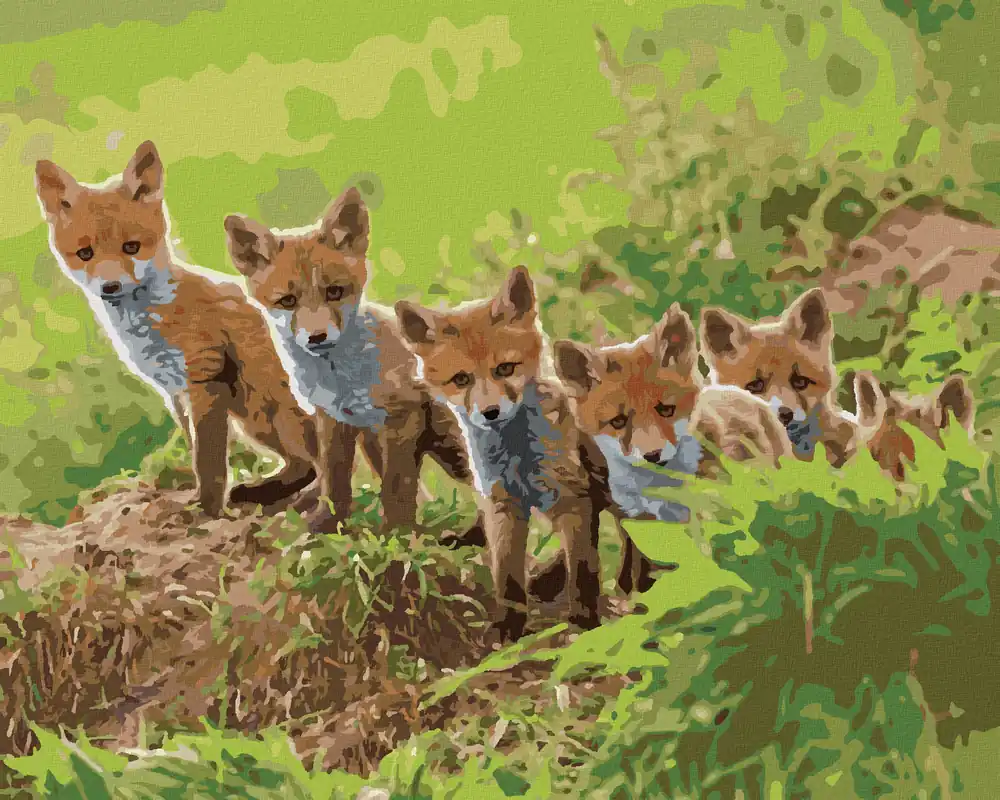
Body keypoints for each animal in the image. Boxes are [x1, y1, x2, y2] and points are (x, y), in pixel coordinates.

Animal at [34, 141, 318, 517]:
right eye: (85, 253)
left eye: (131, 247)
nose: (110, 286)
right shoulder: (175, 393)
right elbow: (195, 451)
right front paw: (198, 502)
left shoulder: (204, 376)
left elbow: (208, 461)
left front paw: (207, 512)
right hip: (252, 415)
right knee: (304, 461)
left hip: (263, 403)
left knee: (319, 461)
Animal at [224, 188, 479, 535]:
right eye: (288, 301)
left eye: (334, 291)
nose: (317, 337)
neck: (340, 379)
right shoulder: (335, 419)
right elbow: (336, 484)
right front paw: (324, 527)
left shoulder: (403, 414)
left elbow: (396, 489)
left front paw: (395, 538)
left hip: (455, 449)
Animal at [395, 267, 604, 641]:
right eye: (461, 379)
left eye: (505, 369)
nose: (490, 412)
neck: (517, 453)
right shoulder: (501, 501)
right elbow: (506, 576)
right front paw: (509, 625)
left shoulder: (570, 492)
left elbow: (581, 569)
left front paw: (584, 621)